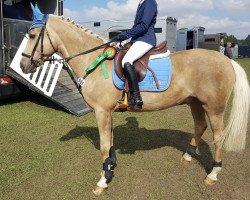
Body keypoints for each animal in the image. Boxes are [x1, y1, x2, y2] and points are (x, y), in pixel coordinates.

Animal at [20, 13, 249, 194]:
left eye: (32, 36)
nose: (23, 65)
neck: (95, 62)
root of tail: (227, 60)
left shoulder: (102, 112)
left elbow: (104, 146)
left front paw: (103, 181)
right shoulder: (108, 112)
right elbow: (110, 143)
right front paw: (110, 168)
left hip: (214, 108)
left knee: (218, 137)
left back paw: (213, 173)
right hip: (195, 103)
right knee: (200, 126)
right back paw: (187, 156)